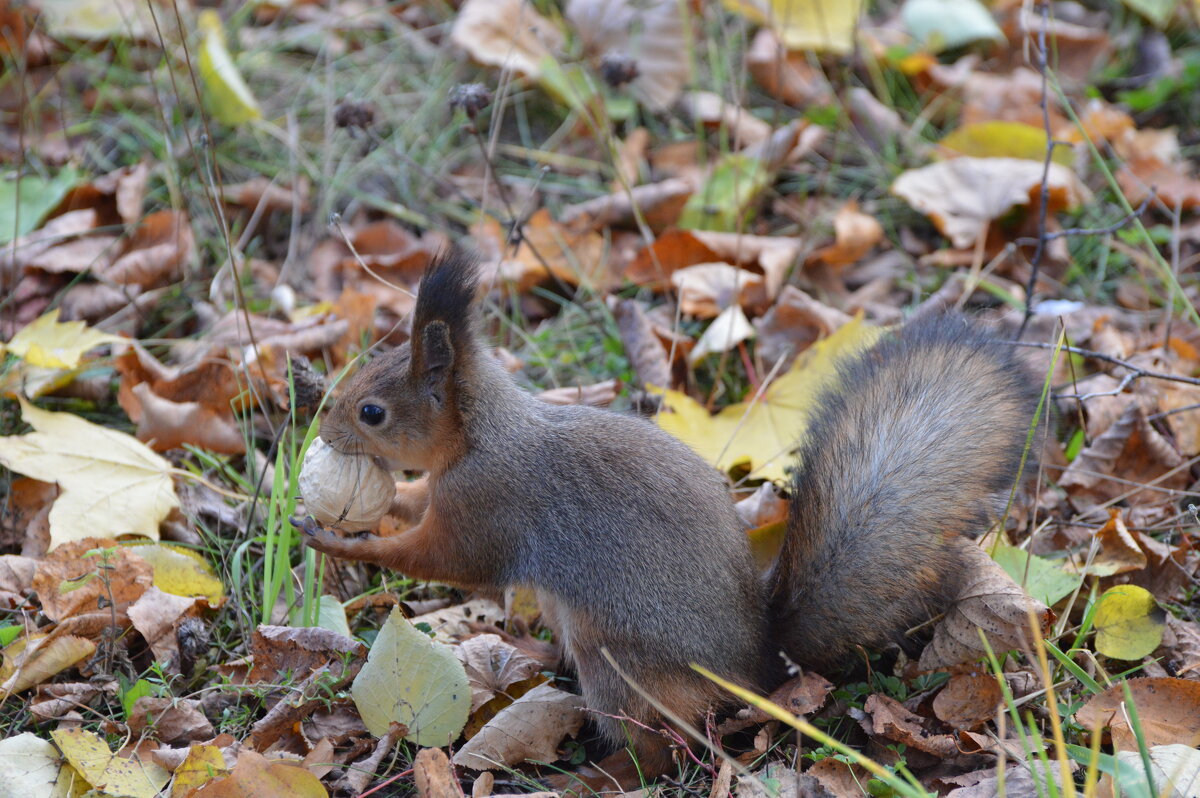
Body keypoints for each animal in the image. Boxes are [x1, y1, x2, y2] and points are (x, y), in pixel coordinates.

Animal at [300, 247, 1041, 782]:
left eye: (372, 412)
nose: (325, 427)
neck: (484, 434)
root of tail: (759, 668)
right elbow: (416, 507)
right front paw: (370, 510)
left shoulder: (488, 505)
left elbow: (443, 561)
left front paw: (341, 541)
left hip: (621, 664)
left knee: (659, 751)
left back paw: (593, 779)